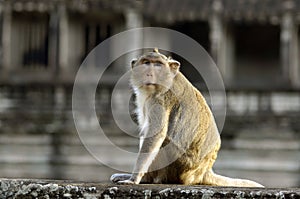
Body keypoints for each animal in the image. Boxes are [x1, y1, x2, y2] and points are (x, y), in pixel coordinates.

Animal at [109, 48, 262, 187]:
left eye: (158, 64)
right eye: (146, 63)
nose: (149, 73)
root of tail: (204, 171)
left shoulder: (160, 100)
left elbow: (156, 136)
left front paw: (134, 178)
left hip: (178, 166)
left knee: (164, 142)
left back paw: (148, 179)